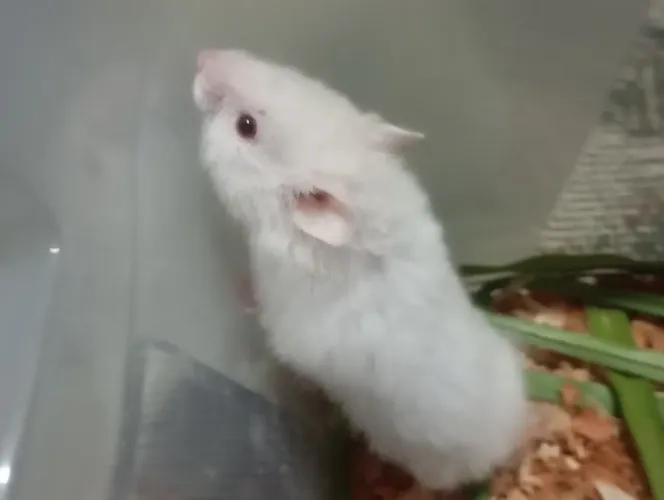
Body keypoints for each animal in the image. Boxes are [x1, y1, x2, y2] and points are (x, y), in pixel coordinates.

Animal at [192, 49, 527, 491]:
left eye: (246, 126)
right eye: (299, 77)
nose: (202, 55)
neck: (367, 203)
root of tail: (507, 444)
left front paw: (238, 289)